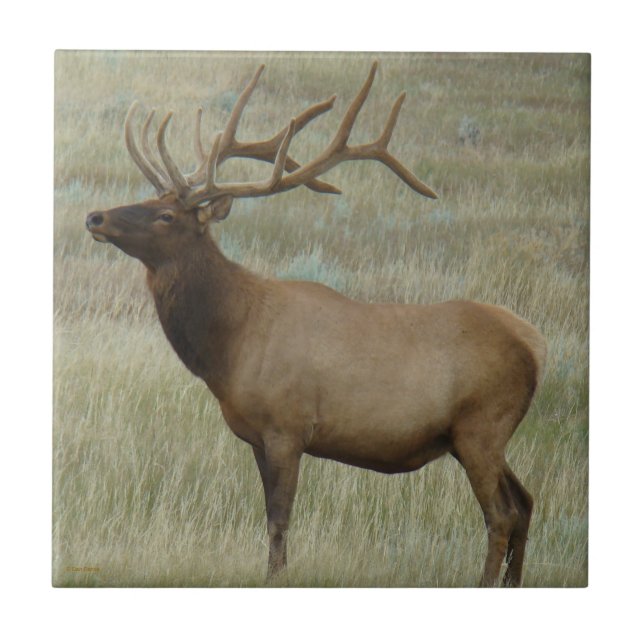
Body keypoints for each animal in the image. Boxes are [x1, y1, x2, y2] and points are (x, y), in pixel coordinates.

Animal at [85, 62, 546, 587]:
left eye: (165, 215)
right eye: (147, 196)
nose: (95, 217)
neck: (229, 346)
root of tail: (537, 345)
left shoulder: (287, 427)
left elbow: (279, 520)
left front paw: (276, 578)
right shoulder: (256, 436)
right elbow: (270, 516)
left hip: (482, 425)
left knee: (501, 514)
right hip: (477, 437)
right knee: (526, 502)